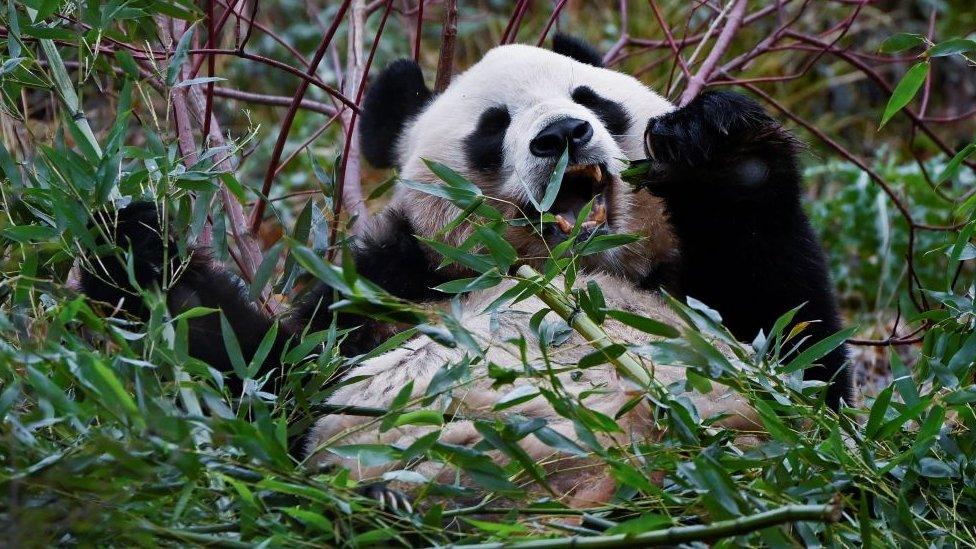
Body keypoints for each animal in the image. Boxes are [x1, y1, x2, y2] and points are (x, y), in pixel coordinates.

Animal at [80, 34, 852, 506]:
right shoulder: (384, 292)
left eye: (590, 98)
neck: (568, 273)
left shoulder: (702, 288)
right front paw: (135, 245)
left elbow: (800, 355)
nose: (562, 135)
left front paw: (716, 142)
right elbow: (258, 384)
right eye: (493, 127)